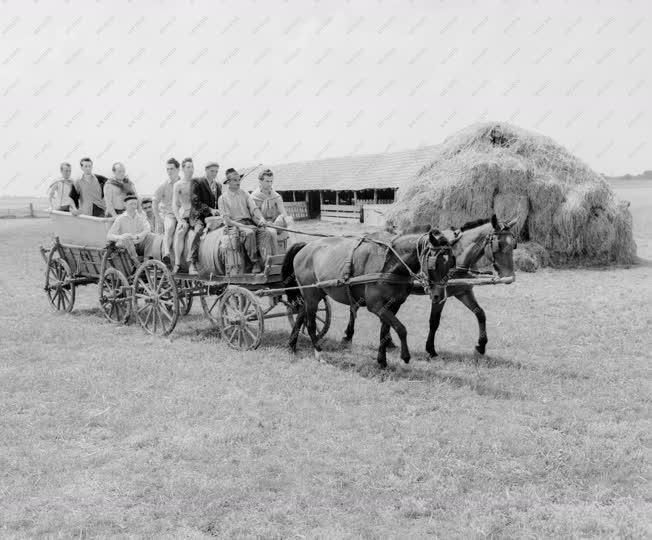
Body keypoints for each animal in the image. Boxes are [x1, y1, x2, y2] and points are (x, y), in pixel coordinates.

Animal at [278, 228, 454, 368]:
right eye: (434, 263)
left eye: (451, 263)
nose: (439, 295)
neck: (390, 264)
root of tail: (305, 247)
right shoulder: (375, 306)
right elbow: (401, 328)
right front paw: (405, 356)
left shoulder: (393, 305)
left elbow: (385, 332)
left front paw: (382, 361)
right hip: (311, 294)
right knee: (310, 323)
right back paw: (318, 353)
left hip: (314, 293)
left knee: (301, 315)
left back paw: (292, 345)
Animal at [344, 215, 516, 358]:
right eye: (498, 245)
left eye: (514, 245)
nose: (510, 276)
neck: (459, 257)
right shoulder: (439, 296)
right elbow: (434, 321)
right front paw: (431, 349)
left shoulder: (463, 292)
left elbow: (480, 314)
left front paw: (481, 346)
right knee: (355, 307)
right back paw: (349, 335)